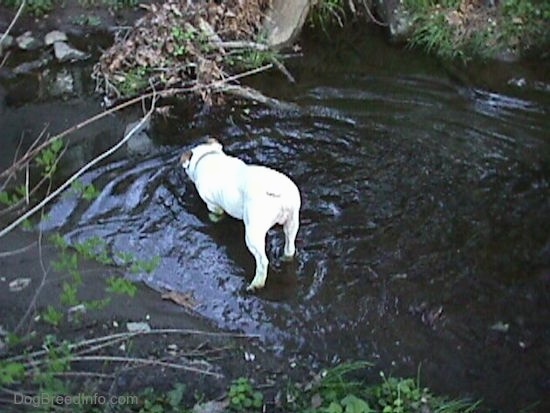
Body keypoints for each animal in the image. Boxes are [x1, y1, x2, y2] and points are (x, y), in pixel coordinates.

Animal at [181, 138, 302, 290]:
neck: (208, 156)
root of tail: (276, 190)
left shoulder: (213, 205)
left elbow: (215, 215)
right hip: (292, 221)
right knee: (290, 245)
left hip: (253, 233)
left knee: (262, 262)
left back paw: (255, 285)